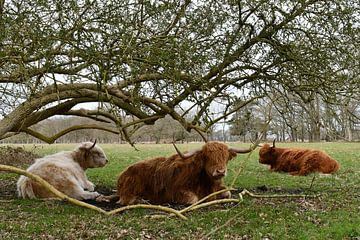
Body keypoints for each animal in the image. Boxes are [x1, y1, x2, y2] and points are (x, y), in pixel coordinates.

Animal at [114, 142, 252, 205]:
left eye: (225, 157)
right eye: (207, 157)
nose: (221, 171)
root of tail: (122, 174)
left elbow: (227, 192)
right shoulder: (176, 191)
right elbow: (194, 199)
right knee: (126, 199)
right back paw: (141, 200)